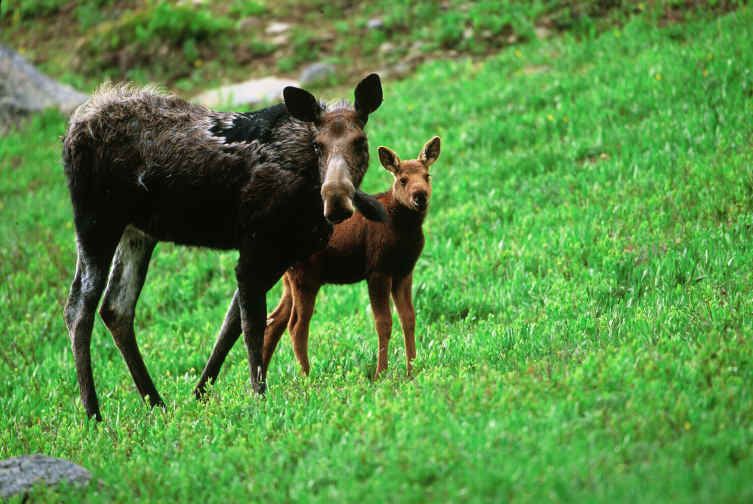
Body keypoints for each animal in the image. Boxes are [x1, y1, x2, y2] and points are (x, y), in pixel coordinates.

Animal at [62, 74, 386, 420]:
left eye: (360, 142)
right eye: (318, 145)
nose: (336, 199)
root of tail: (71, 132)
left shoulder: (280, 252)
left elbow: (231, 324)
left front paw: (199, 393)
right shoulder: (257, 246)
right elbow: (251, 324)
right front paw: (259, 397)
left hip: (137, 232)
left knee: (116, 307)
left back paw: (156, 403)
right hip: (96, 220)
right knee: (79, 306)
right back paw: (93, 413)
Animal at [193, 136, 440, 386]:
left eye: (427, 175)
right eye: (402, 179)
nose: (420, 196)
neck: (403, 230)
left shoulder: (404, 272)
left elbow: (409, 318)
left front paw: (412, 371)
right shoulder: (377, 271)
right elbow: (384, 323)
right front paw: (381, 374)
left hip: (289, 282)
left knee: (274, 321)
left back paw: (262, 381)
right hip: (306, 279)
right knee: (296, 326)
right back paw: (306, 377)